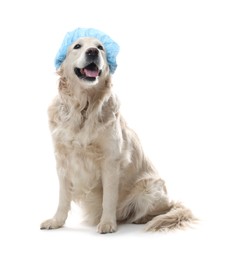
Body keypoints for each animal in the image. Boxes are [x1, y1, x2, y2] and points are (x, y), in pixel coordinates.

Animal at [40, 35, 195, 233]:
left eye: (100, 47)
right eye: (77, 46)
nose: (92, 52)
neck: (84, 107)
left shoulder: (110, 160)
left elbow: (109, 198)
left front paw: (107, 223)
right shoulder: (63, 160)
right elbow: (63, 197)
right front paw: (56, 221)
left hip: (149, 187)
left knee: (158, 211)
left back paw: (141, 218)